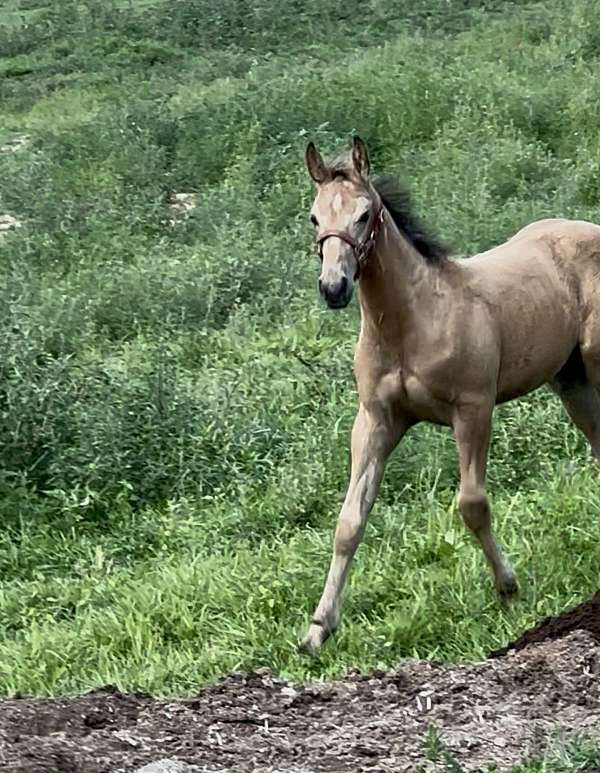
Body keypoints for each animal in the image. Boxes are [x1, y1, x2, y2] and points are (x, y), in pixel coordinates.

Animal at [299, 135, 600, 655]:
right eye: (316, 218)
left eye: (363, 214)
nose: (333, 287)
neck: (411, 322)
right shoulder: (375, 419)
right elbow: (349, 521)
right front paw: (318, 628)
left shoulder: (473, 409)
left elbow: (472, 503)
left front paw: (508, 588)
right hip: (573, 383)